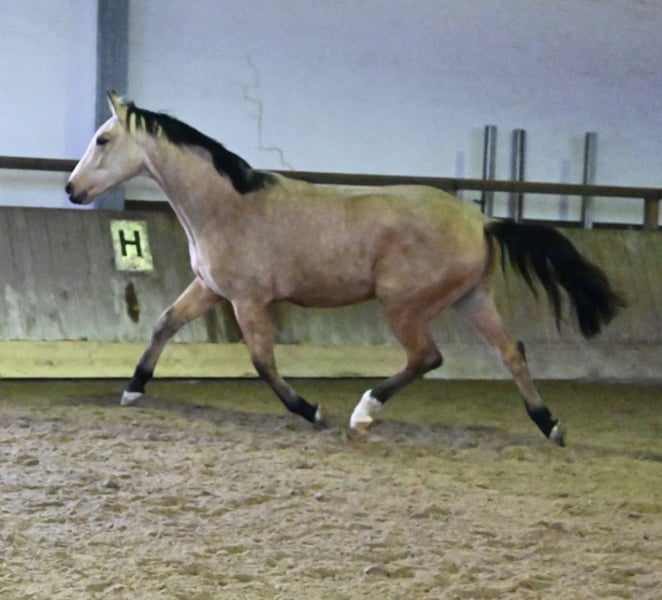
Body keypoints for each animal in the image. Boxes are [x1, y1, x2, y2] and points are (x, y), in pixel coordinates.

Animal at [65, 91, 624, 446]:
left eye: (103, 140)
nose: (71, 190)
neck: (226, 206)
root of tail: (481, 220)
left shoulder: (248, 300)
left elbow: (262, 362)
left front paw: (311, 410)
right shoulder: (211, 288)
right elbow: (163, 324)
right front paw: (133, 389)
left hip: (403, 304)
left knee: (427, 357)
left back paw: (363, 414)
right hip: (471, 299)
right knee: (512, 353)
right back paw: (550, 426)